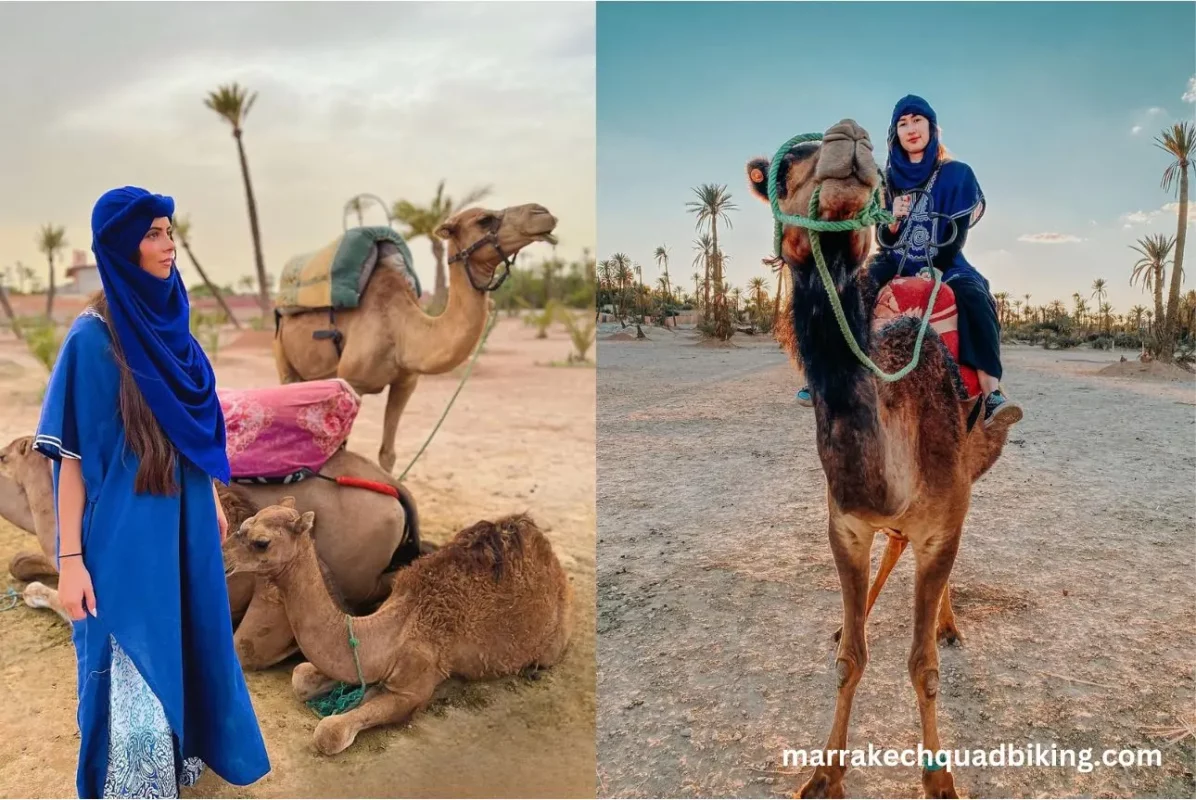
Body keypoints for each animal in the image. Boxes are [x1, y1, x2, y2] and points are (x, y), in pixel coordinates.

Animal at [228, 499, 578, 755]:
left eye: (261, 542)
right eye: (244, 525)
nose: (226, 560)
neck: (394, 628)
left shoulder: (414, 686)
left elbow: (330, 732)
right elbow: (301, 676)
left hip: (553, 642)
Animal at [275, 203, 559, 471]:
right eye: (484, 219)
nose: (542, 213)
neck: (401, 329)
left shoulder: (406, 383)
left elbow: (387, 454)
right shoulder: (352, 382)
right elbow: (343, 451)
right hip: (283, 357)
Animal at [746, 120, 1018, 798]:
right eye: (781, 168)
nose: (848, 137)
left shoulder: (944, 518)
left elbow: (922, 666)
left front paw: (940, 781)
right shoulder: (842, 522)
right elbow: (851, 660)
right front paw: (823, 775)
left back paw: (947, 622)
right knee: (891, 549)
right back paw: (859, 615)